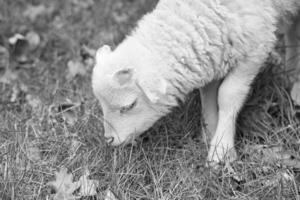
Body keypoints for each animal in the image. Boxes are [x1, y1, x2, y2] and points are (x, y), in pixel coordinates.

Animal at [91, 0, 300, 165]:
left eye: (129, 105)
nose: (109, 140)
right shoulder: (214, 53)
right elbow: (207, 95)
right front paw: (210, 133)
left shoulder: (256, 45)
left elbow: (228, 94)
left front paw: (221, 150)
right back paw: (291, 75)